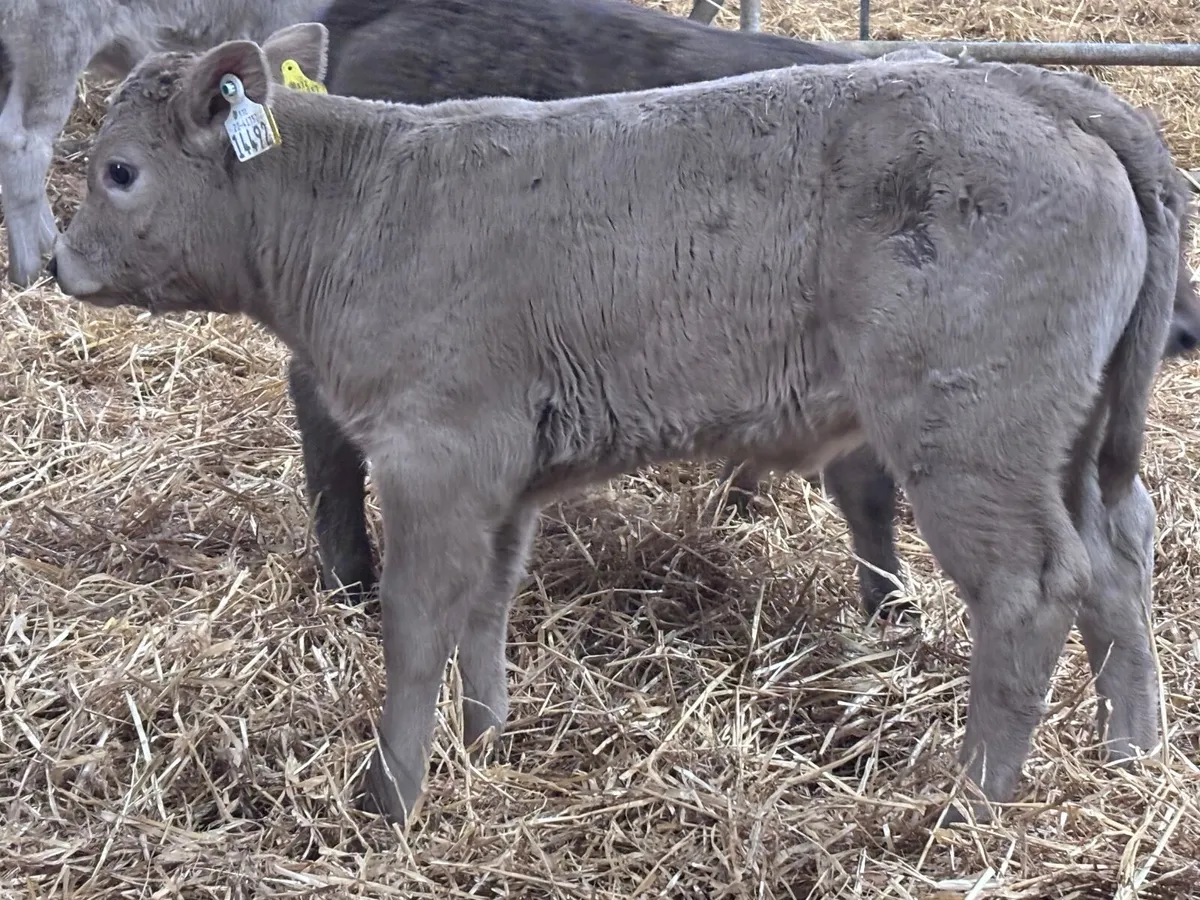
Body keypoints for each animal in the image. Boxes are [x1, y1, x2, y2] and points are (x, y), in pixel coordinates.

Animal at [50, 22, 1183, 828]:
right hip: (1074, 439)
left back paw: (976, 798)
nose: (58, 262)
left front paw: (389, 796)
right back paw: (1133, 752)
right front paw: (486, 740)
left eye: (118, 172)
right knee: (1119, 554)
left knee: (1032, 588)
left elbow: (416, 624)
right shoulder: (507, 476)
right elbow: (486, 609)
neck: (365, 206)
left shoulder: (435, 455)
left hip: (973, 435)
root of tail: (1038, 85)